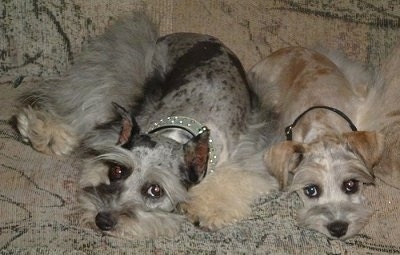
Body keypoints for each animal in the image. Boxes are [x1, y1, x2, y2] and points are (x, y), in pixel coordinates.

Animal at [15, 13, 278, 237]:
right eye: (117, 171)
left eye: (155, 190)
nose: (102, 221)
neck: (182, 127)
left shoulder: (249, 155)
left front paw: (210, 209)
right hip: (122, 75)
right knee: (78, 106)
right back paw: (41, 131)